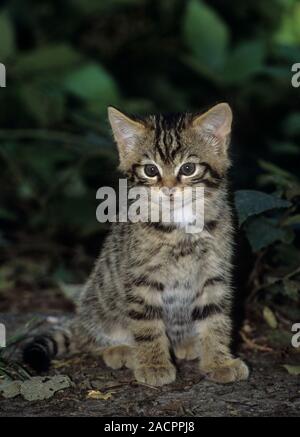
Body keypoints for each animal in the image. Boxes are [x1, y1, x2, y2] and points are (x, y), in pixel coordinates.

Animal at [23, 104, 248, 386]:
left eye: (188, 169)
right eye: (151, 171)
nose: (168, 189)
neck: (180, 228)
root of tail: (79, 323)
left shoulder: (214, 274)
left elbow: (215, 319)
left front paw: (219, 361)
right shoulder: (142, 278)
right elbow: (146, 324)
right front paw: (153, 364)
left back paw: (185, 344)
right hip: (97, 302)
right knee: (88, 340)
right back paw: (120, 350)